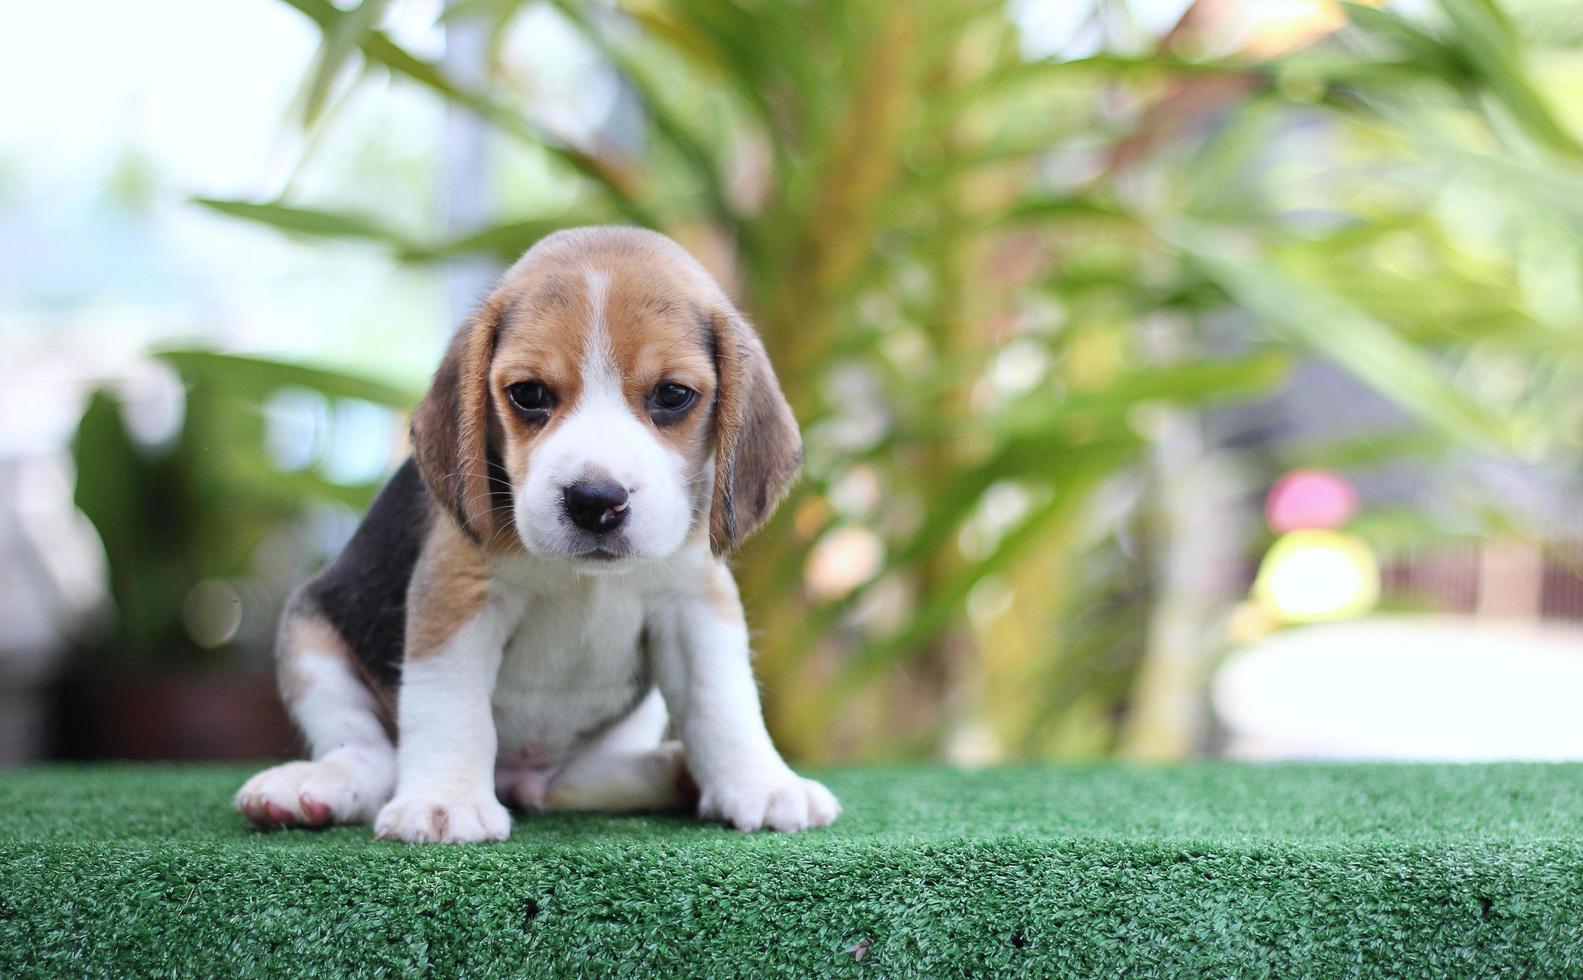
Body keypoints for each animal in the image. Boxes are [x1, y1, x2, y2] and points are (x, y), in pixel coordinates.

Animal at [234, 227, 842, 842]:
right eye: (528, 394)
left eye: (673, 395)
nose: (595, 501)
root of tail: (517, 775)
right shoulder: (458, 595)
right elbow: (450, 706)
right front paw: (444, 801)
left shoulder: (694, 601)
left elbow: (722, 703)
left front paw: (762, 784)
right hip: (310, 637)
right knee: (368, 753)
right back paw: (313, 787)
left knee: (566, 782)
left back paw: (670, 772)